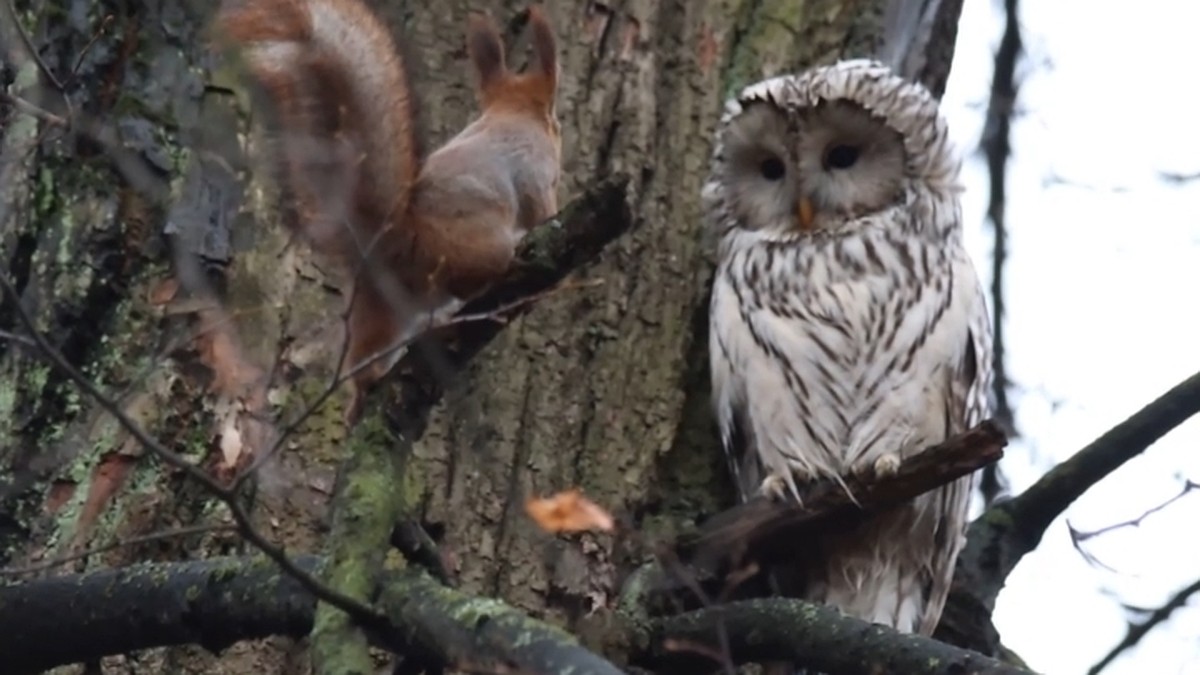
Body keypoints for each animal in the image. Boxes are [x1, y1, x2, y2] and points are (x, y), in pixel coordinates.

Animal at [216, 0, 561, 417]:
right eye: (557, 123)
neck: (512, 113)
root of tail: (398, 236)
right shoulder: (535, 175)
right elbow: (543, 210)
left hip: (381, 306)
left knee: (364, 357)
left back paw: (363, 392)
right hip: (479, 248)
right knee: (475, 277)